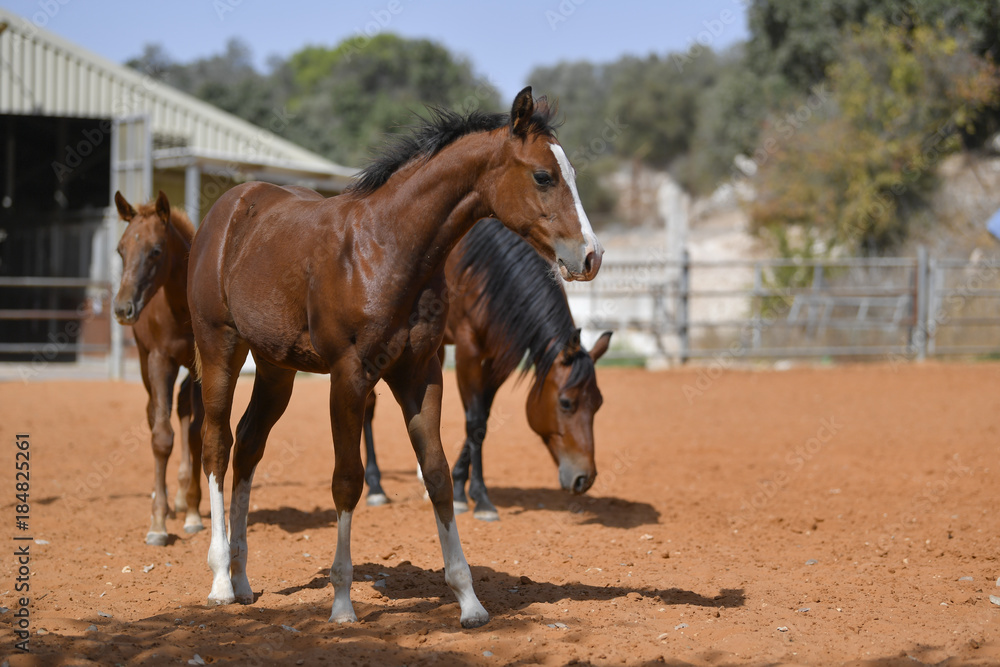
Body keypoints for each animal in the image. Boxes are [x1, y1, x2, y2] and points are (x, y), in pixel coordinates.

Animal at [113, 190, 205, 544]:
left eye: (156, 250)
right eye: (120, 249)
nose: (122, 308)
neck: (180, 308)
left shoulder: (201, 366)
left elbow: (195, 432)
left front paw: (193, 512)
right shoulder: (158, 360)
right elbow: (161, 435)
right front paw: (157, 523)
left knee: (182, 410)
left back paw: (180, 497)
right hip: (143, 360)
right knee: (154, 412)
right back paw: (164, 500)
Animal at [364, 217, 612, 520]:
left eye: (598, 404)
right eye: (566, 403)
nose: (584, 479)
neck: (485, 272)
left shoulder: (497, 360)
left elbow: (482, 417)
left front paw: (460, 486)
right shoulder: (467, 351)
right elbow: (474, 420)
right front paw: (479, 499)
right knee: (368, 408)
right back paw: (375, 487)